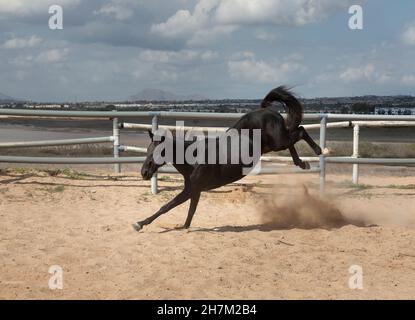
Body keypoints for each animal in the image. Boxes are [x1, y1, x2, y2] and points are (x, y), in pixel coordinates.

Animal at [135, 85, 324, 231]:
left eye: (157, 152)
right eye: (147, 150)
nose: (144, 172)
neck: (194, 159)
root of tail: (268, 110)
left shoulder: (193, 189)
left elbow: (167, 206)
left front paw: (139, 224)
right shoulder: (194, 189)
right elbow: (189, 210)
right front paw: (183, 226)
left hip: (278, 142)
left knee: (300, 131)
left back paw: (319, 150)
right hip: (274, 144)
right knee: (294, 137)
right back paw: (302, 163)